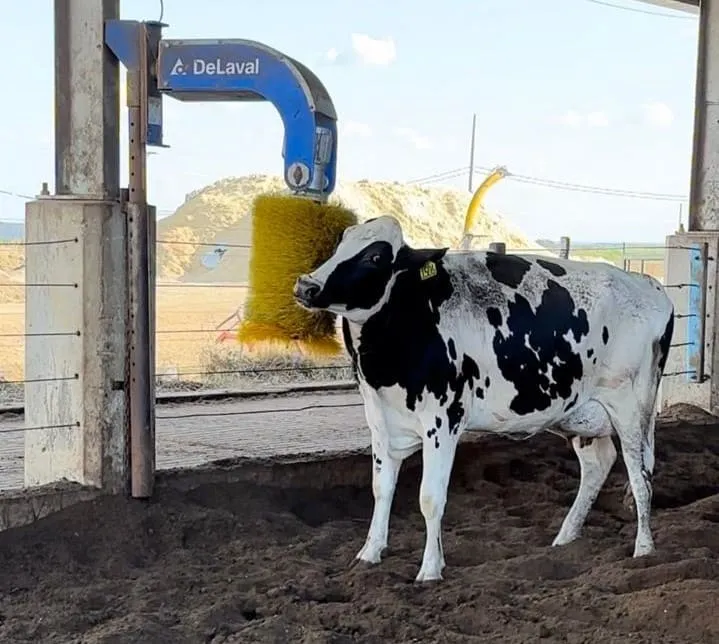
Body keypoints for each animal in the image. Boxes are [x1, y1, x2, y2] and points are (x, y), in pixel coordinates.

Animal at [293, 215, 674, 582]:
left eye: (374, 257)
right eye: (341, 244)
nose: (306, 285)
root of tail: (649, 285)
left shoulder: (442, 422)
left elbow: (430, 498)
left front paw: (430, 569)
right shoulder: (381, 421)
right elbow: (381, 489)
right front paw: (369, 555)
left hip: (630, 407)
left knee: (640, 474)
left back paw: (644, 548)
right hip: (580, 412)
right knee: (598, 464)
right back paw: (565, 538)